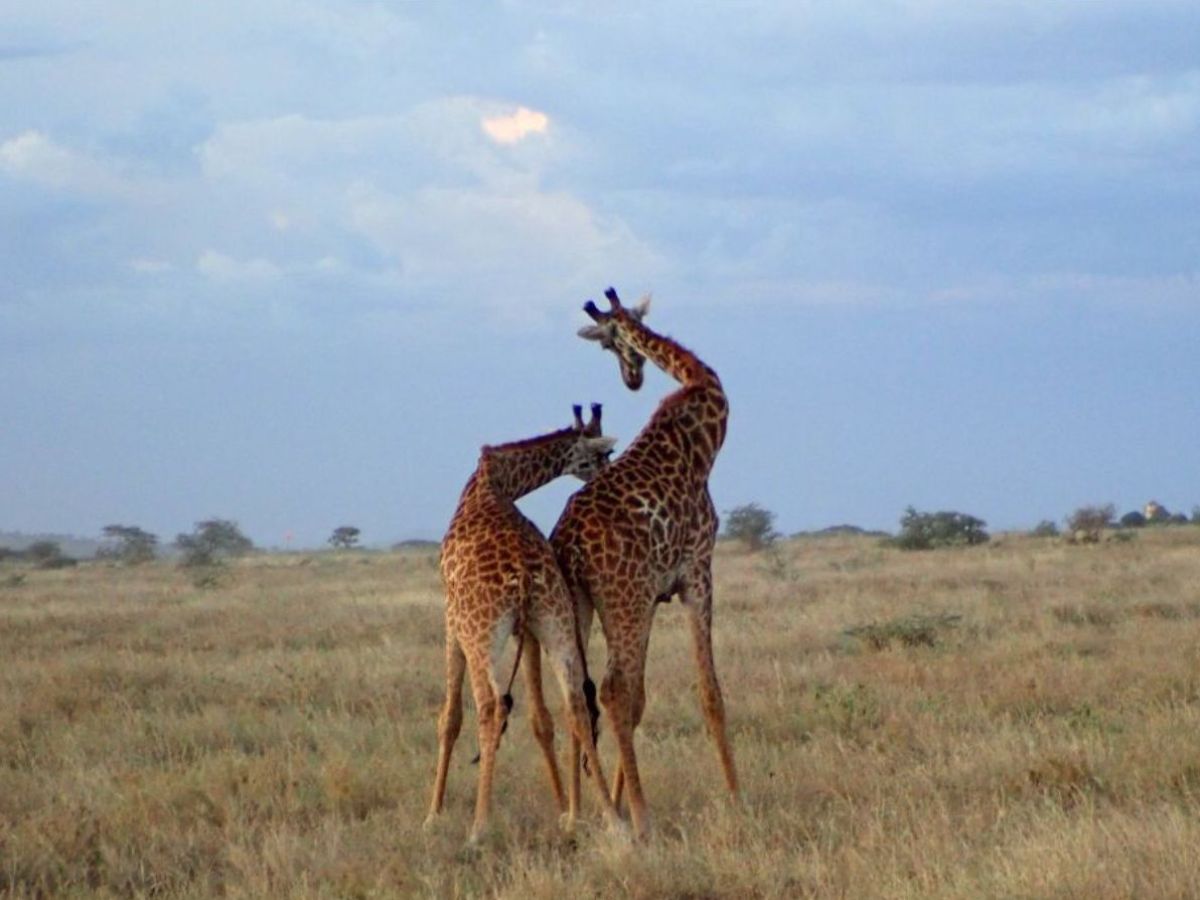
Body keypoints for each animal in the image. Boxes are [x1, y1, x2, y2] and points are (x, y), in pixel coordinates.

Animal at [425, 404, 624, 844]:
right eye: (601, 454)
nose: (608, 475)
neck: (494, 479)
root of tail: (522, 573)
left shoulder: (450, 620)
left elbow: (449, 718)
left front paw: (432, 816)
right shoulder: (529, 630)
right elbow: (541, 718)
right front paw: (564, 808)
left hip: (480, 631)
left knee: (490, 705)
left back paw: (479, 826)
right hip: (556, 620)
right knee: (576, 703)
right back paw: (613, 818)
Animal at [551, 288, 738, 839]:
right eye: (608, 346)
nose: (632, 377)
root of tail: (566, 542)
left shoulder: (655, 595)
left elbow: (639, 701)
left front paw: (611, 799)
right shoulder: (698, 571)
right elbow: (708, 690)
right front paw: (737, 798)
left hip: (582, 602)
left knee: (578, 693)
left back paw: (582, 814)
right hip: (622, 598)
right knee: (610, 690)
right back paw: (639, 819)